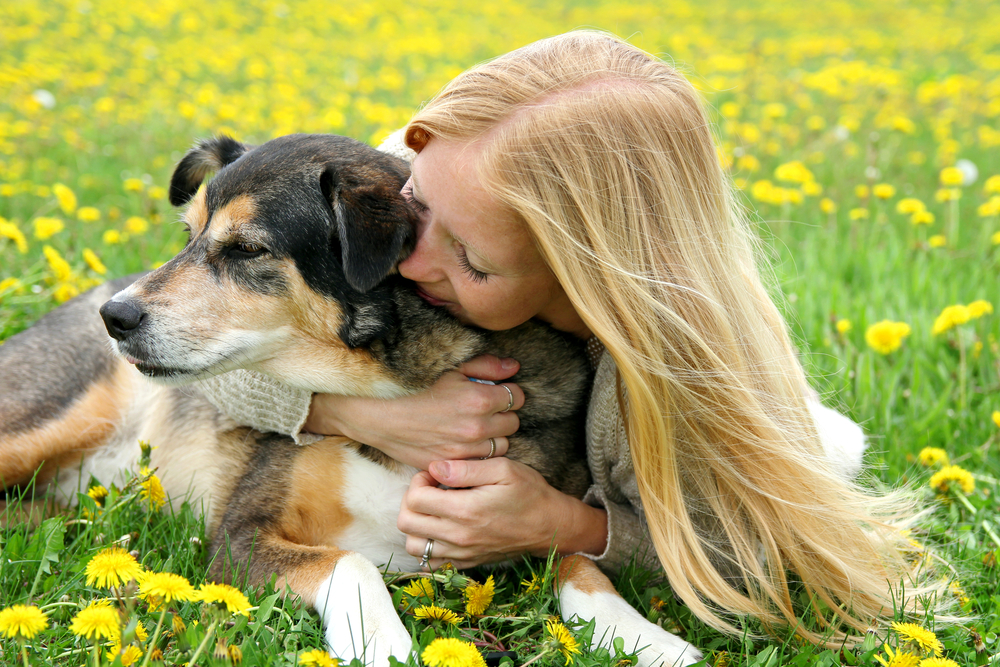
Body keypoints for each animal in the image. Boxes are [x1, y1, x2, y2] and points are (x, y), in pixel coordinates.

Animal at [0, 136, 704, 667]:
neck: (394, 387)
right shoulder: (238, 538)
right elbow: (351, 563)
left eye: (248, 249)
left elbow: (581, 563)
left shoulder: (530, 514)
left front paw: (647, 638)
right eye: (188, 235)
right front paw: (379, 642)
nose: (115, 318)